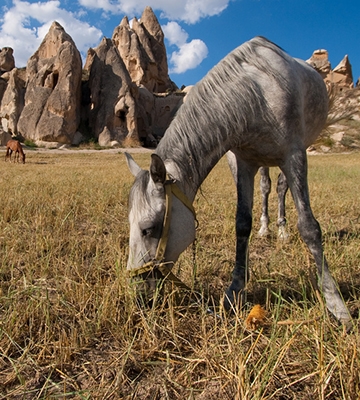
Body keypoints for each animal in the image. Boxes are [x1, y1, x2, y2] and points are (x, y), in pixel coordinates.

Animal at [125, 36, 350, 326]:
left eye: (149, 229)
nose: (138, 296)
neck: (256, 95)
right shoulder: (241, 163)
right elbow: (242, 223)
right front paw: (234, 291)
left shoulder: (294, 155)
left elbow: (310, 227)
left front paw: (336, 305)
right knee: (267, 188)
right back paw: (267, 229)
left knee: (281, 189)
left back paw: (282, 230)